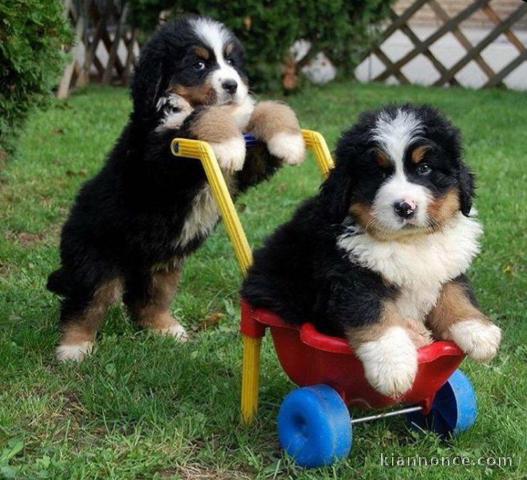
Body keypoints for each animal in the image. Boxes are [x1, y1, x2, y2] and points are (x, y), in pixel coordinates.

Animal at [49, 15, 308, 360]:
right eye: (198, 64)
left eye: (231, 61)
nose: (232, 85)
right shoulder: (163, 158)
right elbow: (205, 115)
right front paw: (228, 145)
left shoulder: (248, 168)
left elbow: (266, 109)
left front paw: (290, 141)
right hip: (96, 262)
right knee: (86, 303)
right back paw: (74, 348)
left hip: (163, 265)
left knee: (147, 301)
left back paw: (166, 330)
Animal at [243, 107, 504, 400]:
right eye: (378, 174)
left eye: (424, 168)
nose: (405, 207)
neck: (409, 243)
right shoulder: (349, 277)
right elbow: (375, 314)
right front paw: (393, 366)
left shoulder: (447, 265)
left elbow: (456, 293)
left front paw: (477, 331)